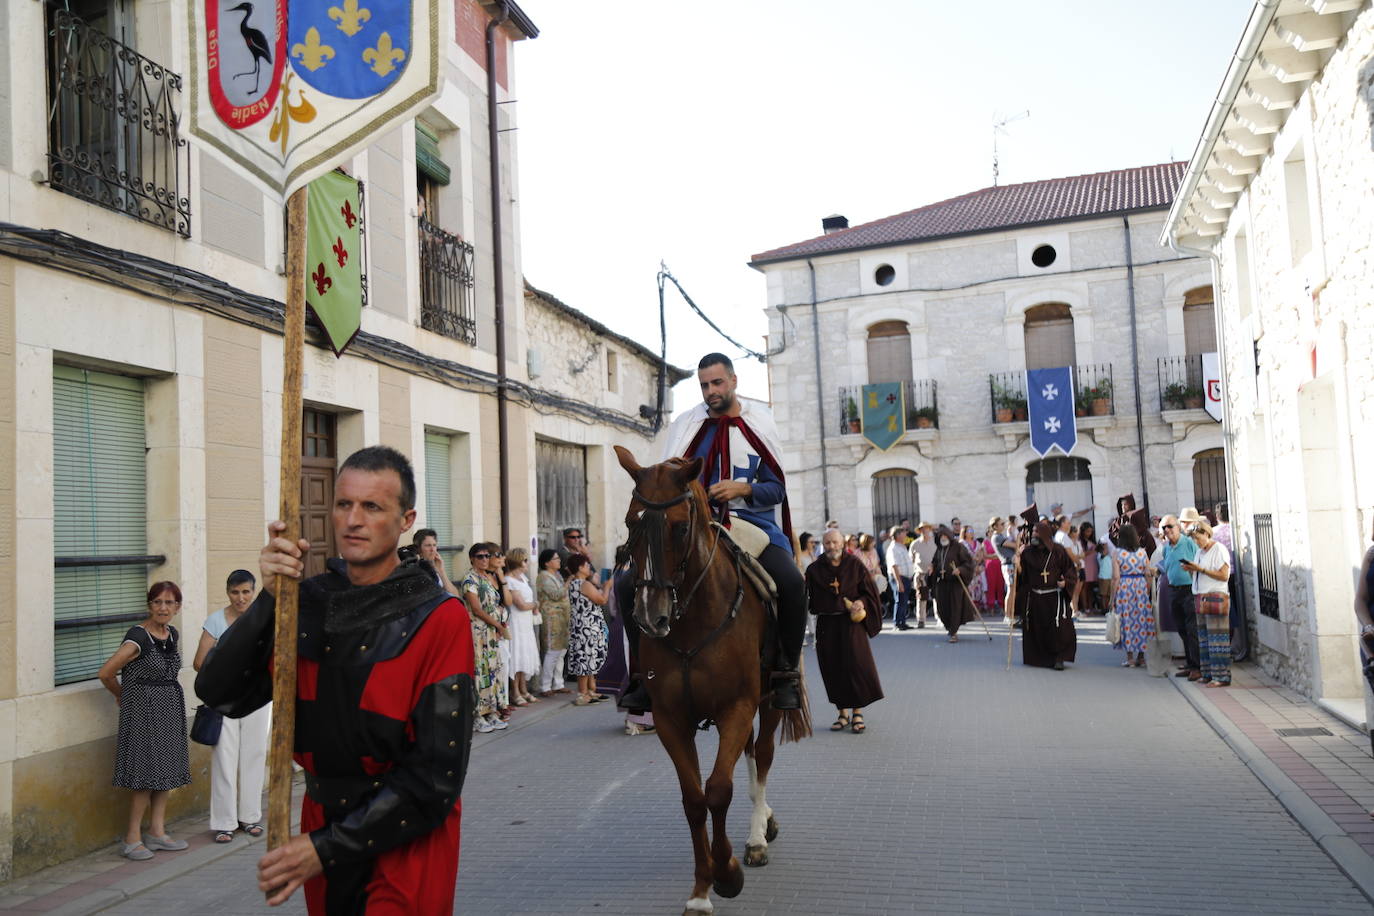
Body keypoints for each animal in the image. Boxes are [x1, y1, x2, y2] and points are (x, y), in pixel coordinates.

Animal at [618, 450, 807, 916]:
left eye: (680, 527)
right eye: (631, 522)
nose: (650, 616)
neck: (692, 620)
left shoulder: (736, 706)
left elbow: (718, 791)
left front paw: (727, 874)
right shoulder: (670, 719)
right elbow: (694, 800)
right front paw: (701, 891)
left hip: (768, 700)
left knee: (762, 753)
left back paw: (757, 838)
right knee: (750, 754)